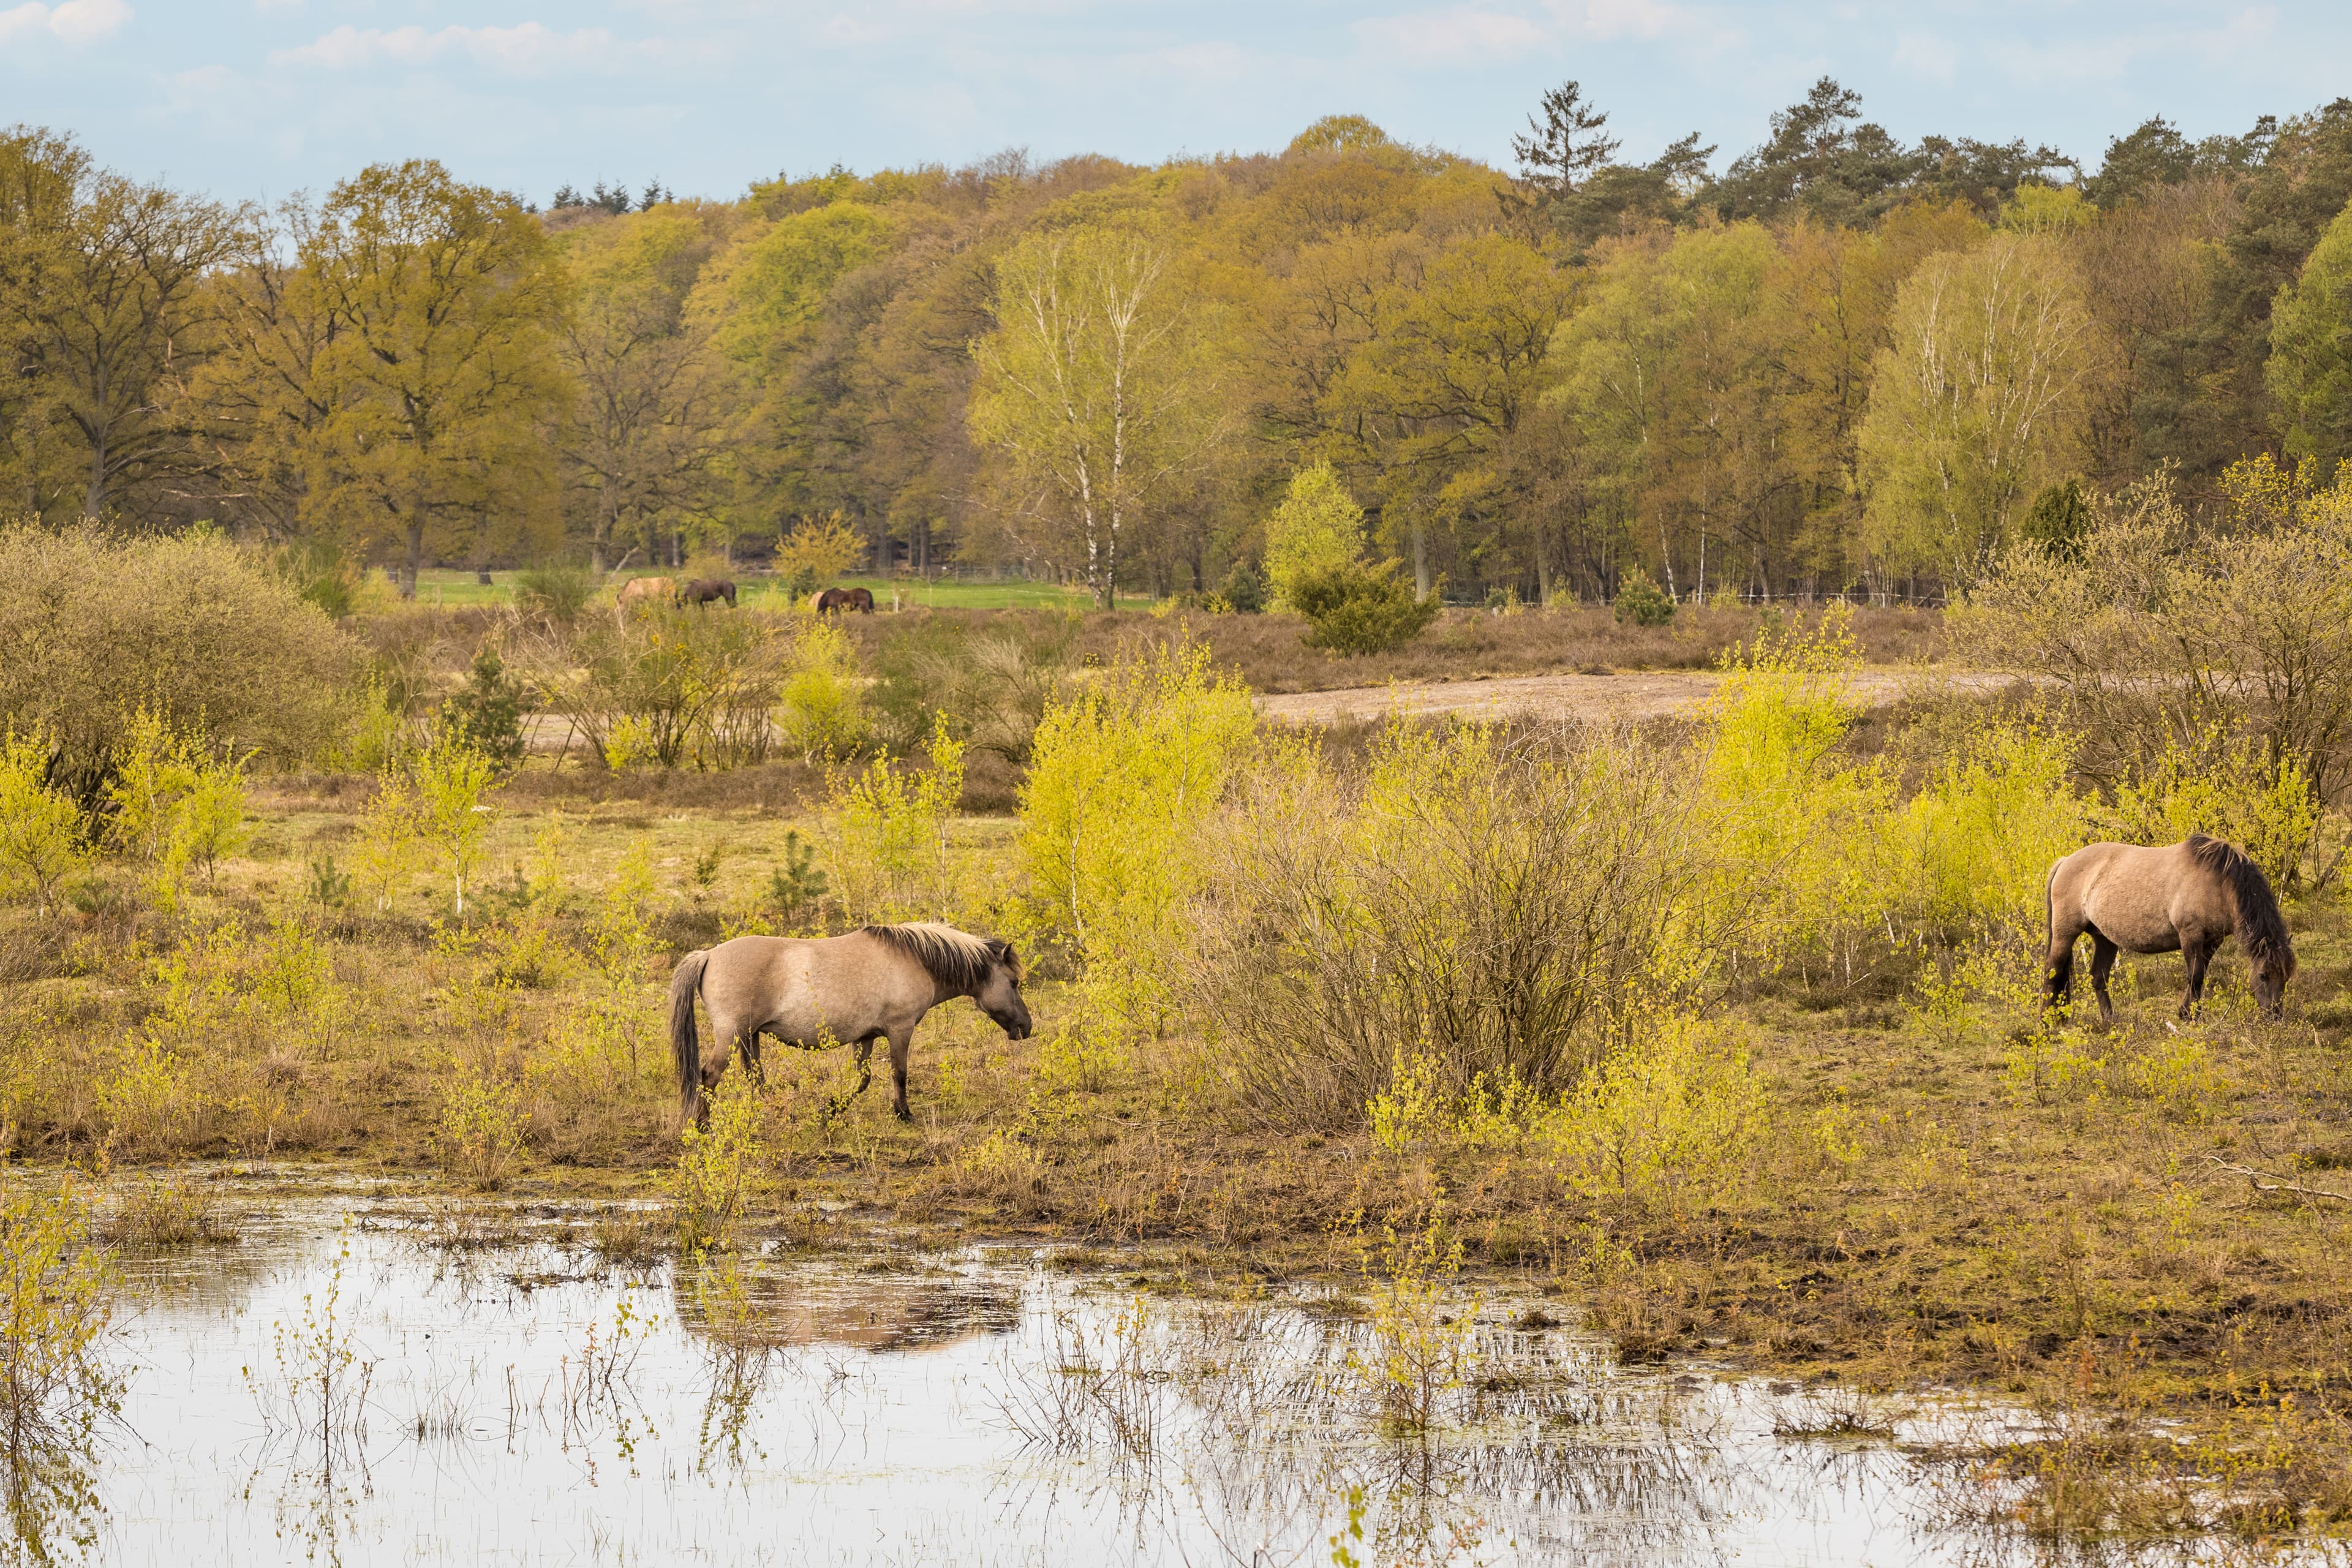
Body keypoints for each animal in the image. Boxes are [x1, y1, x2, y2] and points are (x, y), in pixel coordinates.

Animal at [670, 921, 1032, 1125]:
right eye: (1014, 983)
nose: (1027, 1028)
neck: (913, 960)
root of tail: (708, 955)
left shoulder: (866, 1037)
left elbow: (863, 1080)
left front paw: (829, 1110)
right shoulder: (901, 1030)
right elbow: (899, 1074)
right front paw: (904, 1113)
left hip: (749, 1035)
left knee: (755, 1078)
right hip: (730, 1035)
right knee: (709, 1075)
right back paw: (703, 1125)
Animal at [2044, 834, 2295, 1024]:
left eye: (2286, 977)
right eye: (2263, 975)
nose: (2275, 1017)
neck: (2219, 883)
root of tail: (2065, 862)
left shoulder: (2212, 941)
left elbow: (2200, 976)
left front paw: (2189, 1012)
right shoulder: (2190, 935)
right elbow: (2195, 976)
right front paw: (2190, 1016)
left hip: (2105, 939)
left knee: (2099, 977)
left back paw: (2109, 1020)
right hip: (2065, 933)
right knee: (2052, 970)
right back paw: (2047, 1020)